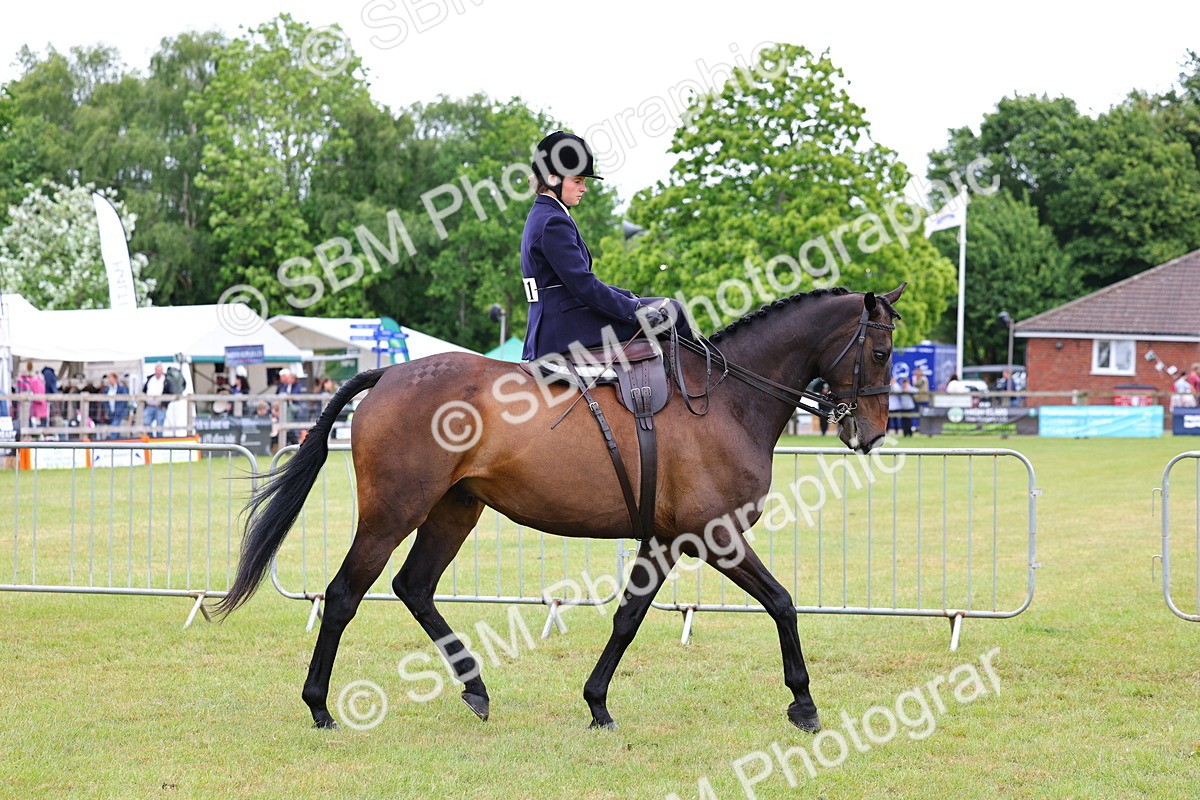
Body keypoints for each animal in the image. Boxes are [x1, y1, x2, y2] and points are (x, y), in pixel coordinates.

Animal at [216, 284, 905, 733]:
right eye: (880, 352)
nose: (872, 434)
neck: (726, 398)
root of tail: (387, 376)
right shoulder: (716, 537)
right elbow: (783, 603)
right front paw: (804, 704)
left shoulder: (665, 542)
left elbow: (627, 618)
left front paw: (597, 702)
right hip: (393, 513)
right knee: (343, 596)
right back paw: (319, 704)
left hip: (453, 511)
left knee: (414, 587)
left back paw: (476, 690)